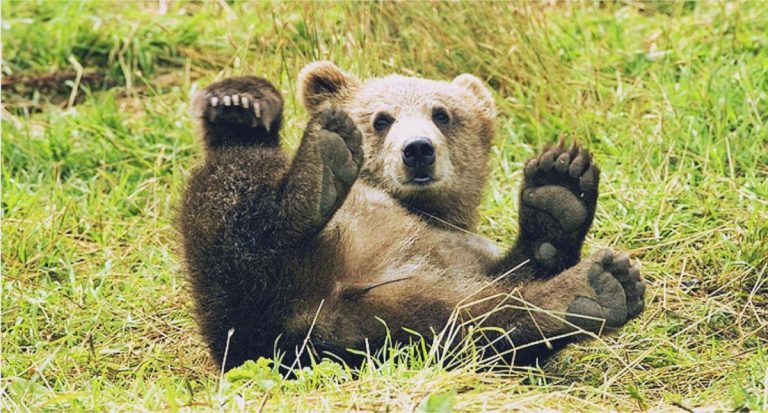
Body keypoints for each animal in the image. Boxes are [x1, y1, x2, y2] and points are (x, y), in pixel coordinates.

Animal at [178, 62, 646, 372]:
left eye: (442, 114)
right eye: (382, 118)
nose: (418, 149)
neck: (420, 209)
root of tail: (309, 315)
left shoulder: (462, 253)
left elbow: (515, 276)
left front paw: (559, 190)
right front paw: (239, 100)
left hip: (390, 321)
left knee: (474, 324)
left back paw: (594, 288)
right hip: (243, 298)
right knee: (232, 195)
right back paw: (311, 163)